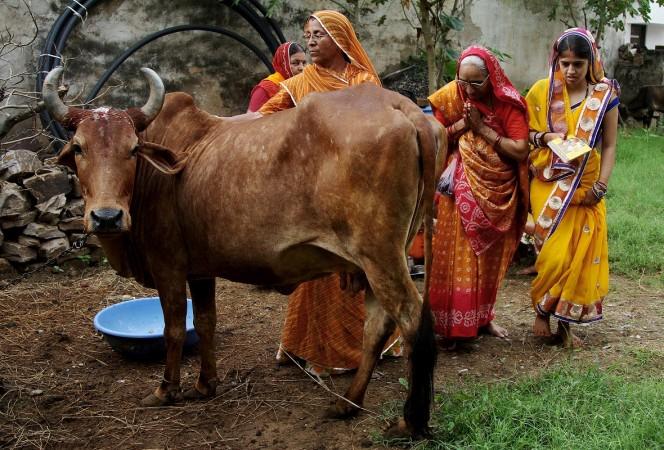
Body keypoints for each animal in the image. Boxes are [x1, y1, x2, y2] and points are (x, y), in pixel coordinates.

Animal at [42, 67, 447, 438]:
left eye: (132, 150)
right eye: (78, 147)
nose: (106, 217)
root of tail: (402, 107)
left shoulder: (167, 266)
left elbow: (174, 328)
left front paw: (166, 390)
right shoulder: (200, 270)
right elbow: (206, 321)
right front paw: (205, 384)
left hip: (380, 255)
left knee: (412, 320)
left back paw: (411, 421)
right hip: (380, 258)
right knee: (377, 326)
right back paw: (347, 403)